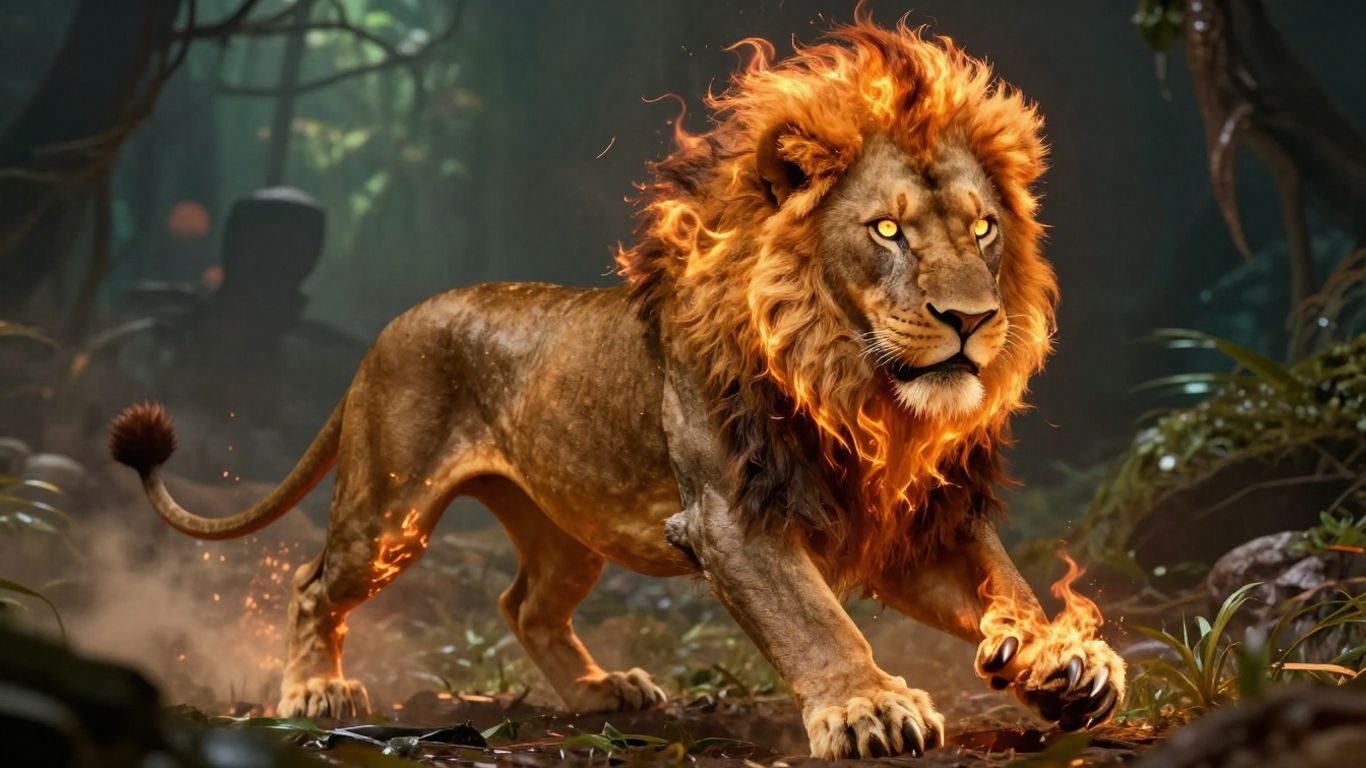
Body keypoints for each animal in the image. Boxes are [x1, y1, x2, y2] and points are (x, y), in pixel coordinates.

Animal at [109, 17, 1125, 759]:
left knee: (524, 606)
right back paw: (318, 688)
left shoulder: (908, 516)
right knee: (316, 581)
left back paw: (607, 691)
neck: (853, 381)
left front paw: (1064, 662)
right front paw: (869, 708)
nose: (973, 321)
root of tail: (391, 327)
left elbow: (1005, 586)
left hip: (568, 526)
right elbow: (818, 623)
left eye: (983, 227)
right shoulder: (731, 518)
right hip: (386, 508)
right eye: (886, 230)